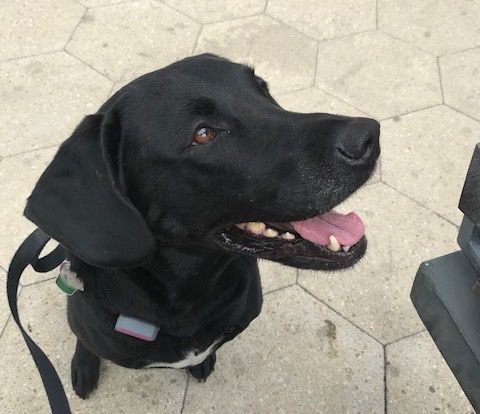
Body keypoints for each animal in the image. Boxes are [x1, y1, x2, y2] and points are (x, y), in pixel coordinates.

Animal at [24, 53, 380, 400]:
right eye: (203, 133)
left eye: (263, 89)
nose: (369, 137)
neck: (190, 296)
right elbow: (85, 341)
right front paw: (84, 363)